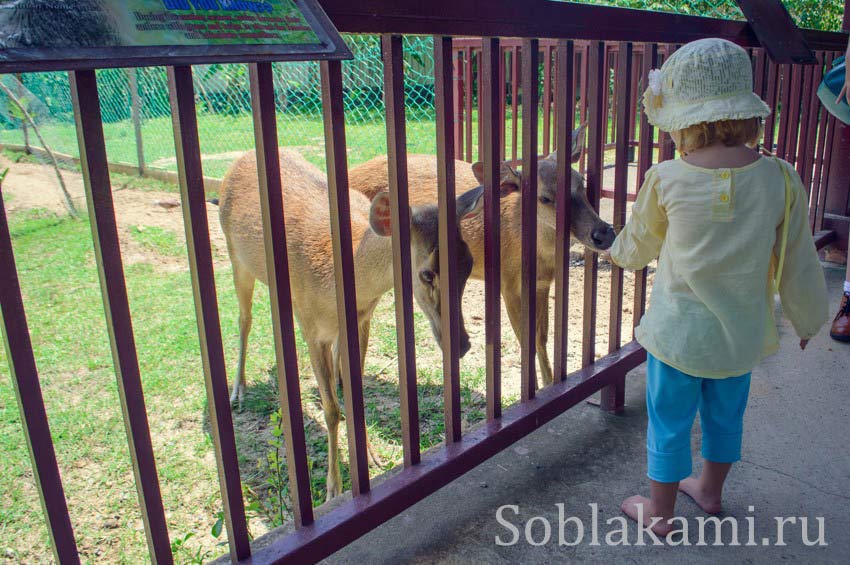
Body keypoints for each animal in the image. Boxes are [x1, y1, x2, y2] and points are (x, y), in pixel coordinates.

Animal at [219, 148, 484, 496]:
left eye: (468, 262)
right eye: (427, 273)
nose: (462, 344)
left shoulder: (361, 319)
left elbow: (354, 395)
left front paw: (371, 457)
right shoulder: (310, 326)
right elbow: (331, 409)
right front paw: (334, 487)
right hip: (234, 254)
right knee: (244, 319)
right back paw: (238, 390)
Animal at [348, 125, 612, 386]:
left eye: (581, 181)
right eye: (545, 197)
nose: (604, 233)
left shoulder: (543, 283)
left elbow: (542, 337)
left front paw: (550, 385)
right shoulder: (509, 282)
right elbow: (526, 340)